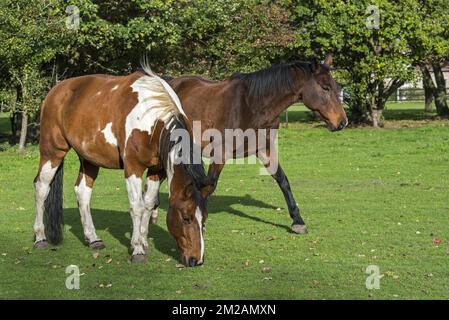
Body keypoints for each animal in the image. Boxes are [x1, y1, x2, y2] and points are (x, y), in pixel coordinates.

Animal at [33, 67, 212, 264]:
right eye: (186, 217)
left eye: (204, 219)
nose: (197, 260)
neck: (152, 118)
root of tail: (56, 90)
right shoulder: (133, 167)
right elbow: (137, 206)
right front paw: (138, 250)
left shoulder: (157, 170)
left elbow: (149, 204)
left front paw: (142, 241)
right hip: (52, 152)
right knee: (41, 187)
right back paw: (40, 238)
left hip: (89, 159)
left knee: (82, 192)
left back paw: (93, 239)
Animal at [161, 53, 346, 234]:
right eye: (325, 87)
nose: (342, 122)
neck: (251, 105)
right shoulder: (221, 154)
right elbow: (209, 186)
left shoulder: (264, 149)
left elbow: (282, 180)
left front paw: (298, 221)